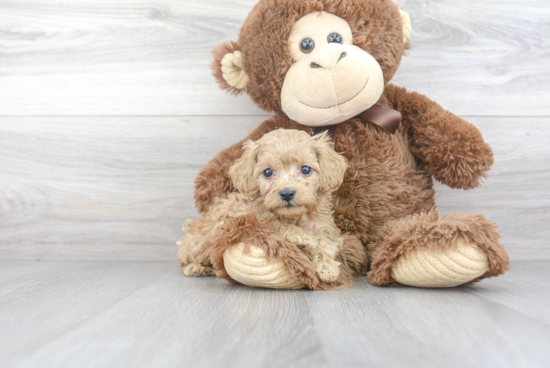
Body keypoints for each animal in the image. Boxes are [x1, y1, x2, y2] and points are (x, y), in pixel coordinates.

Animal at [177, 131, 350, 284]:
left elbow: (326, 242)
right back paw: (194, 268)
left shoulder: (324, 227)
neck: (293, 216)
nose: (287, 193)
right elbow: (278, 225)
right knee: (184, 253)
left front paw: (328, 268)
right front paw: (301, 237)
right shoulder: (257, 221)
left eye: (305, 169)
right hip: (202, 242)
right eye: (267, 172)